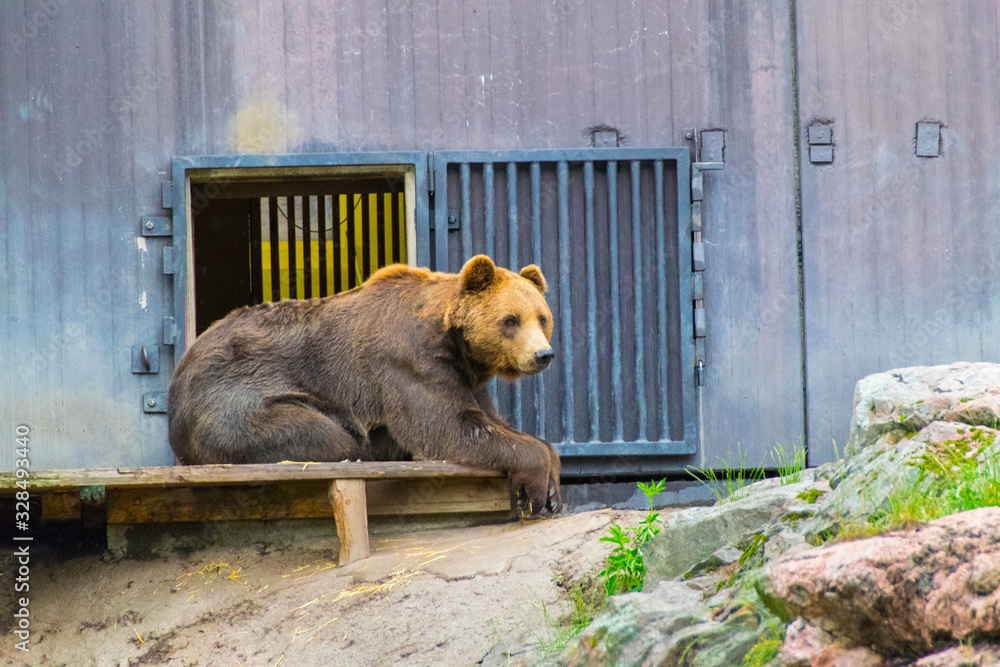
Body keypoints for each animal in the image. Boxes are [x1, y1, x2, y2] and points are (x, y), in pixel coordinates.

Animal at [167, 255, 561, 513]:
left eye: (542, 317)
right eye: (510, 319)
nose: (543, 355)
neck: (452, 341)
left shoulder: (466, 375)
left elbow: (492, 420)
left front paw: (552, 484)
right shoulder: (408, 361)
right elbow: (448, 427)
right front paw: (537, 485)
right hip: (237, 402)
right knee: (322, 435)